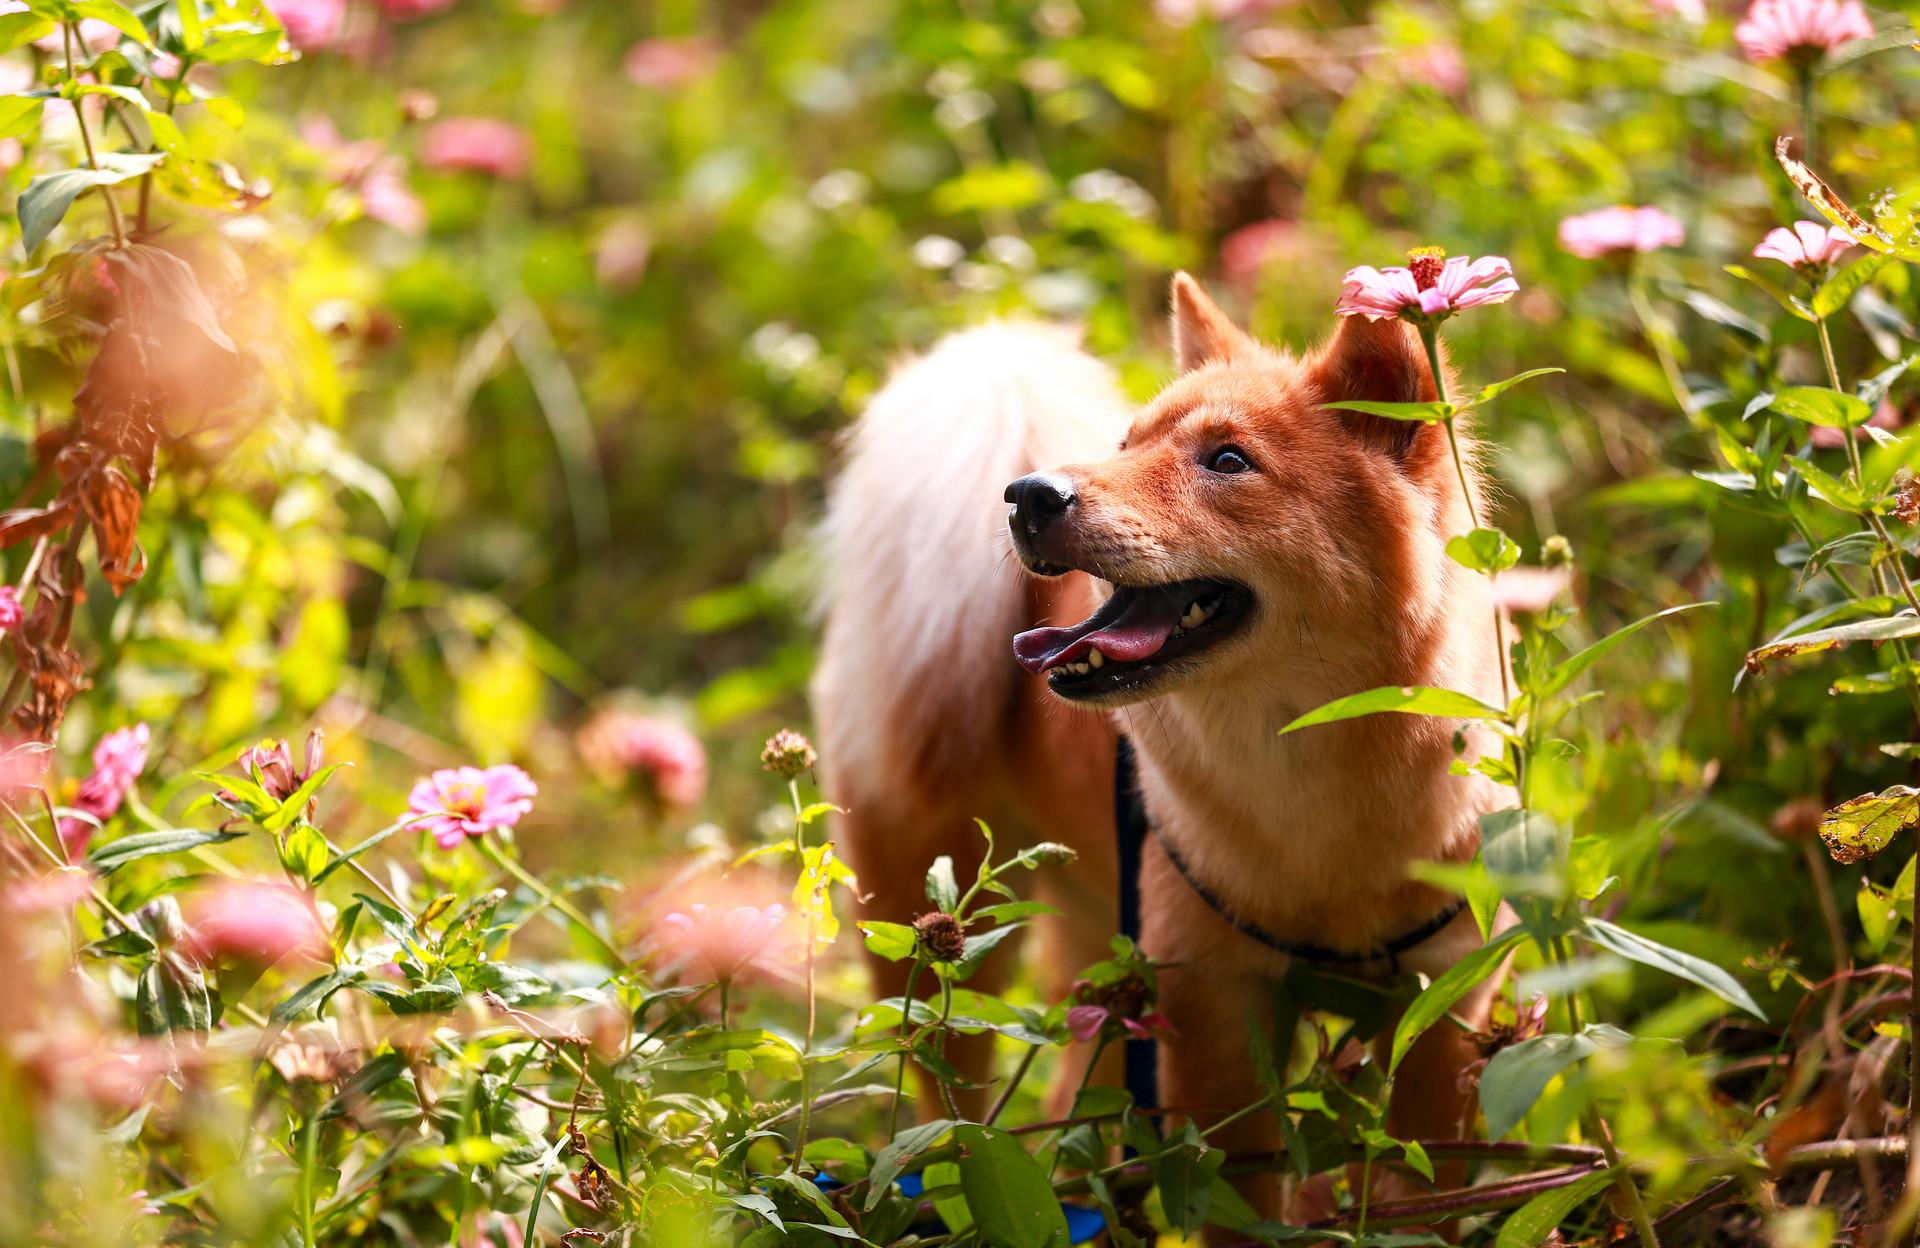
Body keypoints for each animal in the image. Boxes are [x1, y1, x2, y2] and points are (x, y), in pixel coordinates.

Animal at [810, 272, 1497, 1213]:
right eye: (1127, 443)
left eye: (1228, 461)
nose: (1029, 495)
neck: (1315, 782)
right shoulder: (1210, 1017)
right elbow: (1244, 1207)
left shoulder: (1444, 1007)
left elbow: (1414, 1190)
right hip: (941, 956)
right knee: (951, 1109)